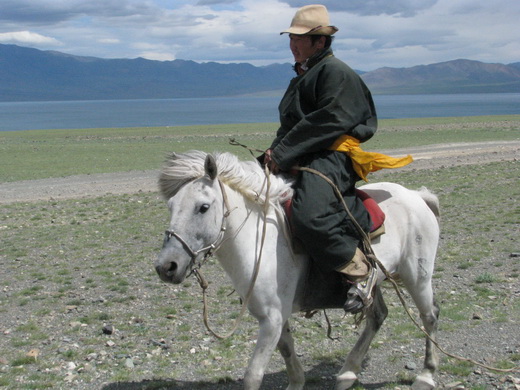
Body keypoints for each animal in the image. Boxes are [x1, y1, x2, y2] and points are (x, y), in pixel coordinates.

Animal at [154, 151, 438, 390]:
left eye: (203, 207)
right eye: (170, 207)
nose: (166, 267)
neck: (260, 240)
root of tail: (417, 196)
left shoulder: (271, 319)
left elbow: (253, 375)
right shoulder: (273, 316)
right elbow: (288, 351)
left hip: (418, 276)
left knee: (429, 316)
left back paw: (425, 376)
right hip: (375, 282)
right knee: (378, 316)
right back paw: (347, 374)